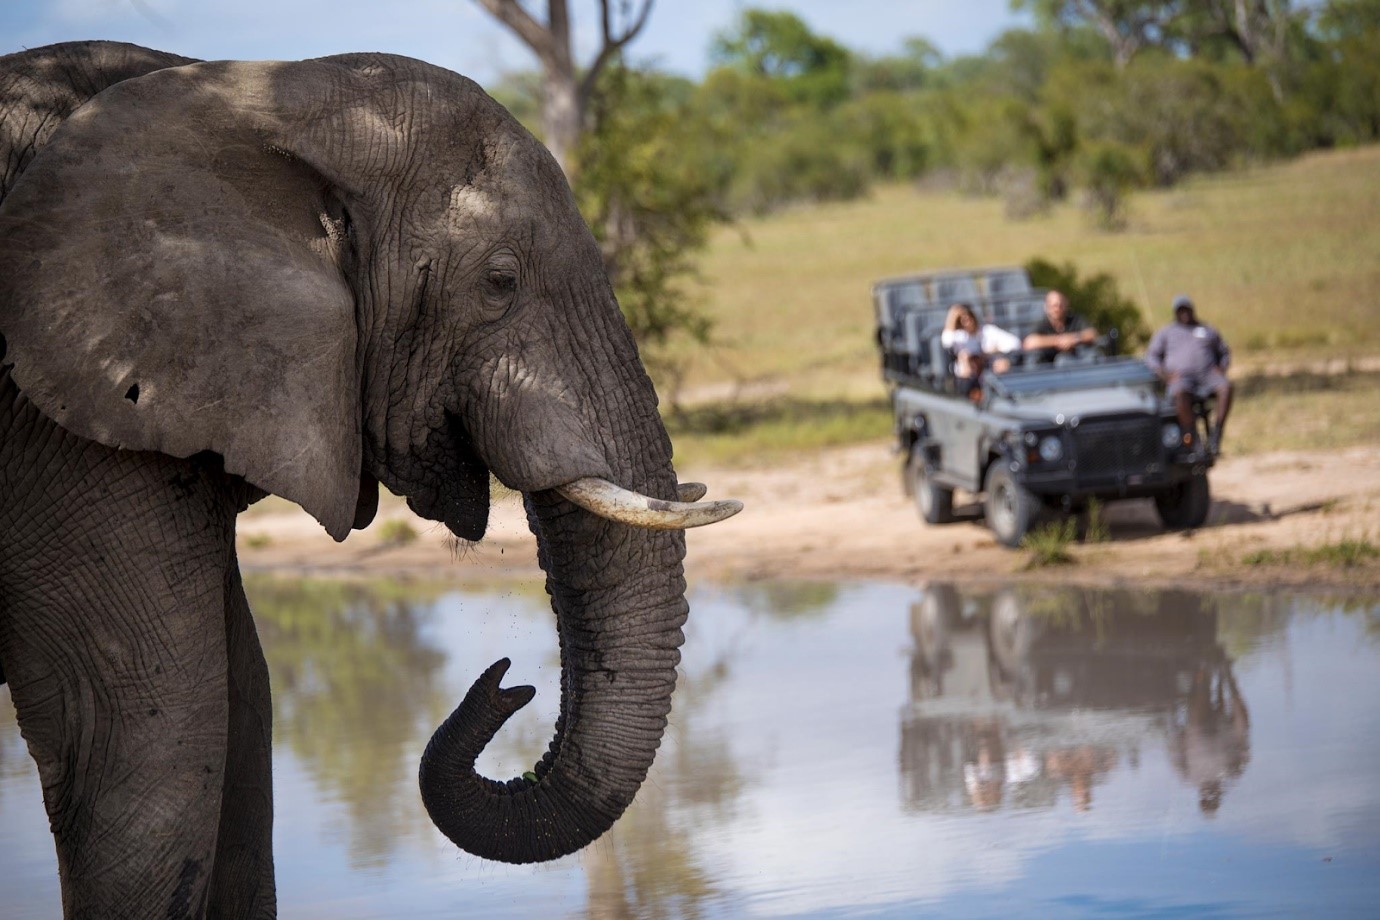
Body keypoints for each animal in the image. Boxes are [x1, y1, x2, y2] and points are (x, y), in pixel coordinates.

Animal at [0, 41, 745, 915]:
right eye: (500, 282)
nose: (505, 686)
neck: (264, 89)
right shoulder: (53, 418)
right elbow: (149, 744)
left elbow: (242, 716)